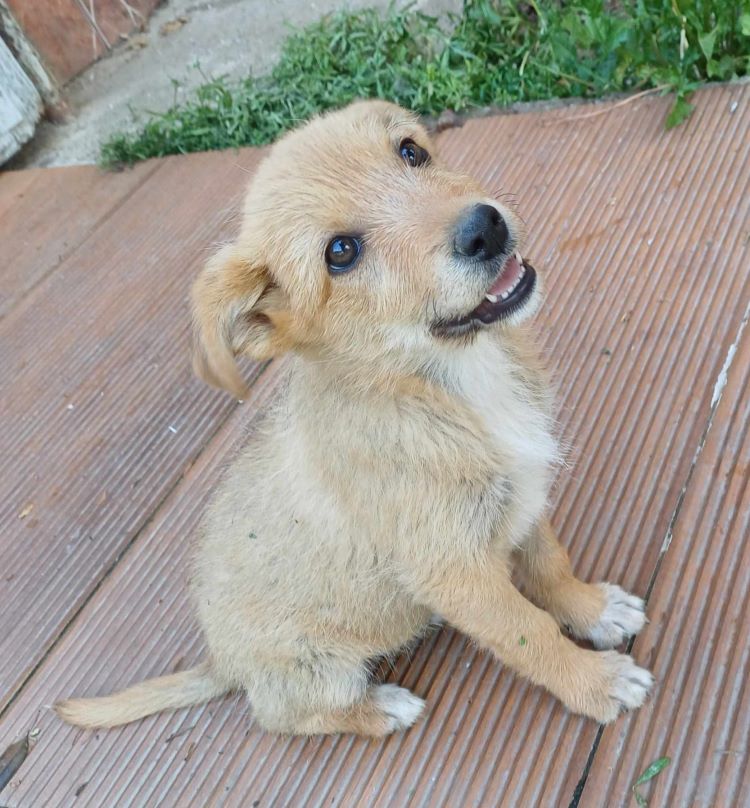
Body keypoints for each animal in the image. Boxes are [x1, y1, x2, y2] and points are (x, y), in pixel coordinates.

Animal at [57, 99, 652, 732]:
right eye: (340, 253)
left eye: (411, 151)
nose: (484, 227)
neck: (449, 382)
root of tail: (223, 663)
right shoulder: (456, 572)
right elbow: (528, 634)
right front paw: (594, 682)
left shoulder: (524, 496)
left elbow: (551, 566)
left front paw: (594, 610)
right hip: (319, 672)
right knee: (291, 717)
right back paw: (382, 708)